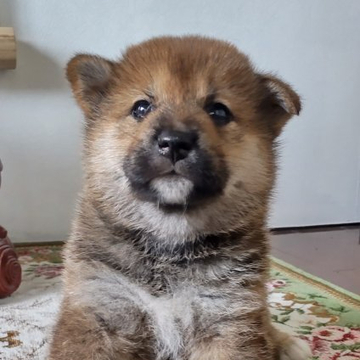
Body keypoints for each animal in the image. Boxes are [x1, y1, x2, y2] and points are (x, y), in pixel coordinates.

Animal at [49, 34, 310, 360]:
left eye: (218, 111)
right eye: (141, 108)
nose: (174, 142)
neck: (170, 239)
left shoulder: (227, 313)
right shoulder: (101, 304)